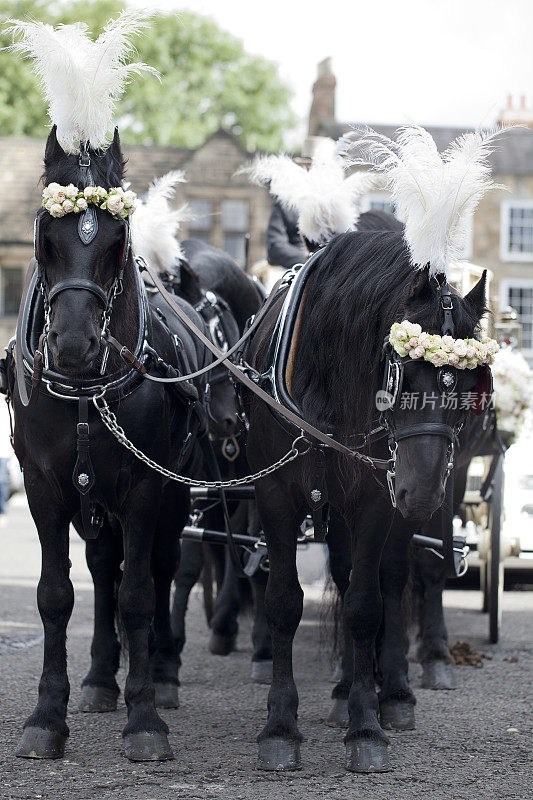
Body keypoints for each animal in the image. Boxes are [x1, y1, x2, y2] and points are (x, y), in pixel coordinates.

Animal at [8, 126, 212, 764]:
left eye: (116, 239)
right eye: (45, 236)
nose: (74, 347)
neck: (83, 392)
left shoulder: (145, 489)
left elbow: (141, 595)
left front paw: (144, 718)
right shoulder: (45, 489)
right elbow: (56, 595)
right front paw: (47, 717)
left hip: (171, 496)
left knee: (166, 567)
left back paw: (161, 673)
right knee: (102, 570)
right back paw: (100, 678)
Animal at [243, 222, 488, 772]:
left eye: (469, 384)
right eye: (397, 372)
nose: (421, 493)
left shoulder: (376, 502)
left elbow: (365, 604)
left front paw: (367, 725)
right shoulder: (275, 494)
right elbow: (284, 600)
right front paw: (280, 727)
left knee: (394, 579)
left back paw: (392, 689)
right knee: (344, 570)